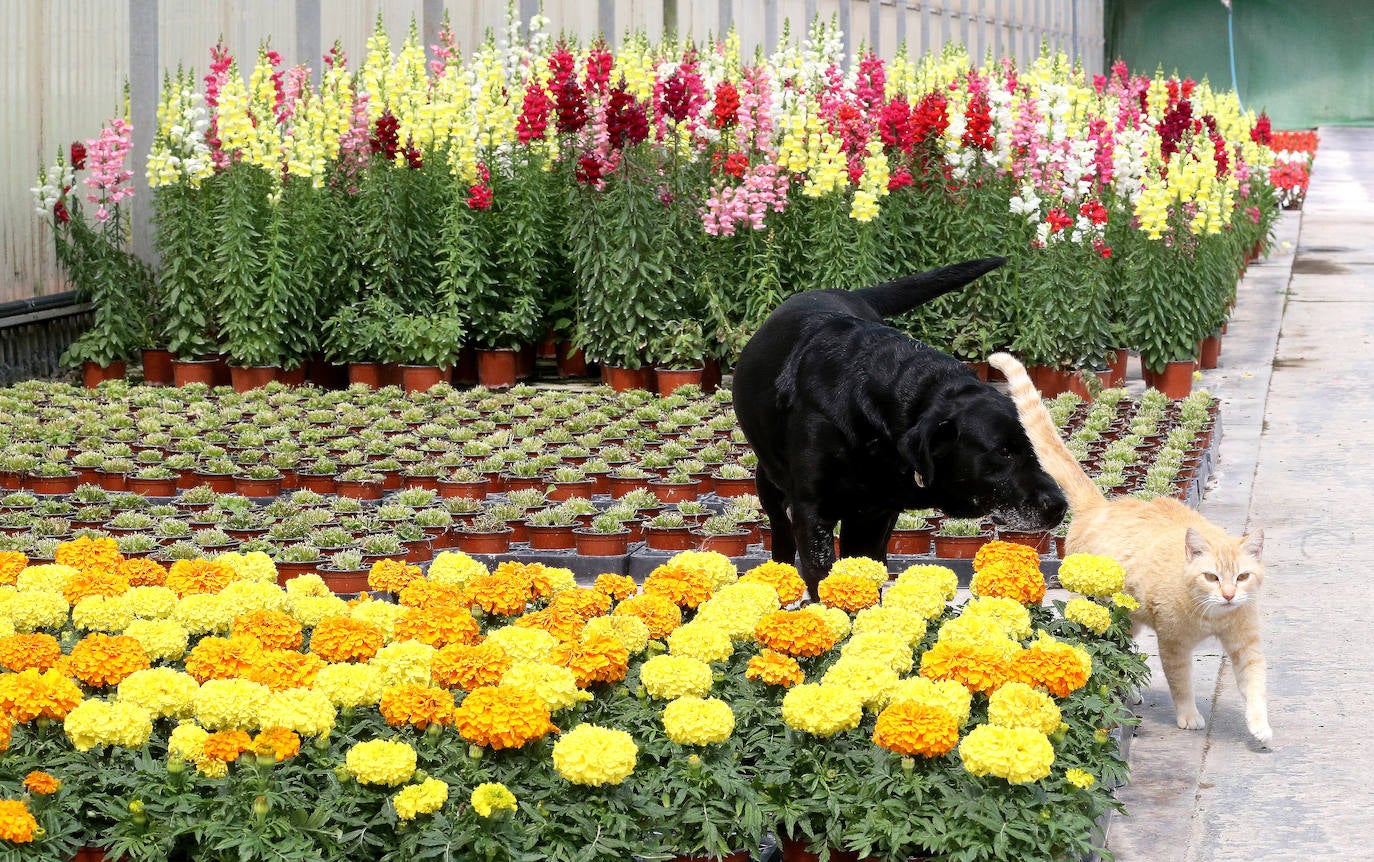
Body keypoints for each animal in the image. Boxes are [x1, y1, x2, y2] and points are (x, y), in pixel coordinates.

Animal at [736, 258, 1066, 599]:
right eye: (1003, 452)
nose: (1060, 506)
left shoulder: (873, 513)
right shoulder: (812, 513)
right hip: (770, 485)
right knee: (781, 537)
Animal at [989, 354, 1264, 747]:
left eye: (1241, 577)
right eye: (1212, 577)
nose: (1228, 595)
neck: (1214, 616)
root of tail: (1100, 506)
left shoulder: (1246, 641)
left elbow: (1256, 683)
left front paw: (1260, 726)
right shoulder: (1173, 643)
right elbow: (1181, 683)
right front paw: (1188, 715)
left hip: (1128, 616)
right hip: (1101, 610)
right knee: (1104, 649)